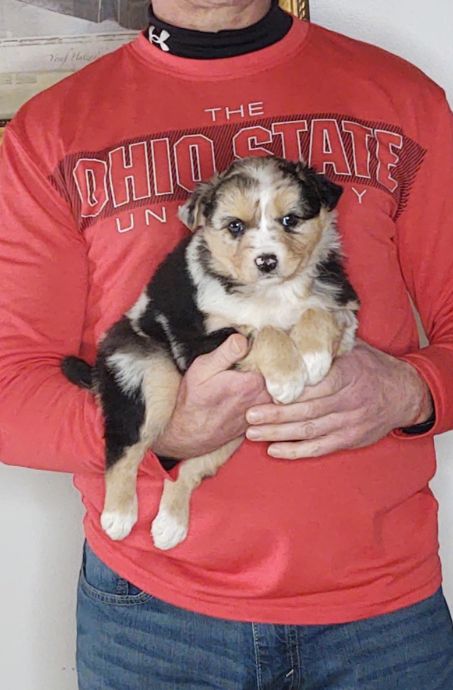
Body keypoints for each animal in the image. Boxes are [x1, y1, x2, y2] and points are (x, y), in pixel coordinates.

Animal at [63, 155, 358, 548]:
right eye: (235, 226)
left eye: (290, 220)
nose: (267, 261)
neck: (271, 291)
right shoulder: (199, 341)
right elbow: (263, 332)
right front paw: (289, 376)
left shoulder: (345, 315)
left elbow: (317, 311)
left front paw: (312, 357)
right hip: (148, 374)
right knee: (124, 449)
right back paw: (118, 516)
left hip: (228, 432)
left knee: (187, 472)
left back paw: (170, 525)